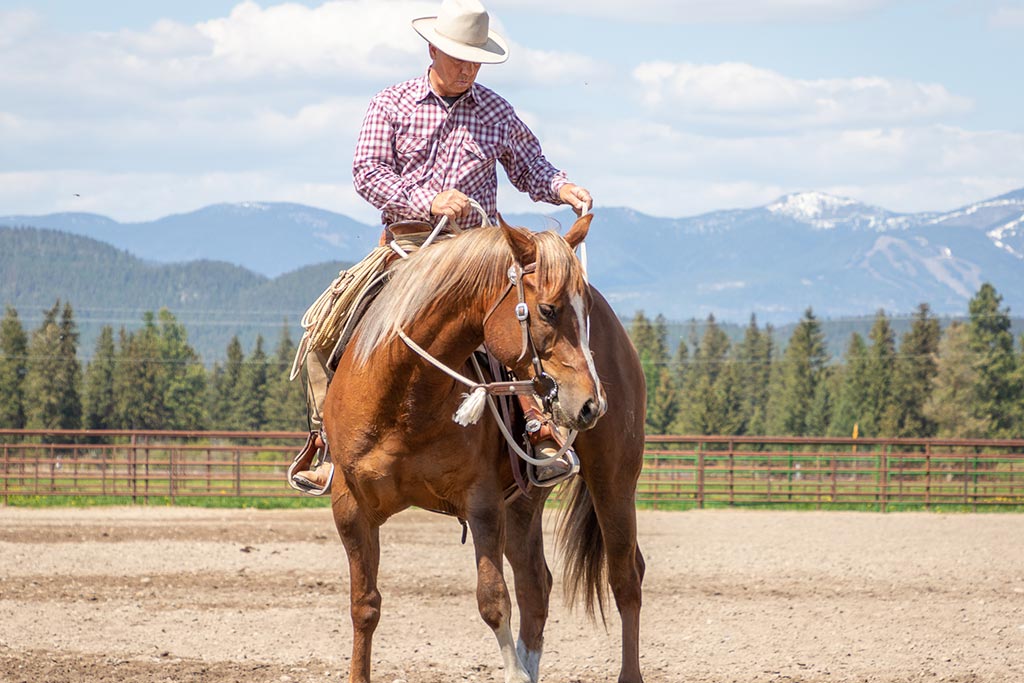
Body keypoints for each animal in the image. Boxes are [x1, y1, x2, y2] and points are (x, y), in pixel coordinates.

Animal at [323, 215, 647, 683]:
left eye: (584, 311)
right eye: (547, 310)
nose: (591, 403)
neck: (405, 396)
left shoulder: (482, 503)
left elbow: (493, 600)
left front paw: (513, 671)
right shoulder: (351, 506)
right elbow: (364, 605)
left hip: (614, 480)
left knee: (625, 577)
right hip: (524, 503)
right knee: (536, 585)